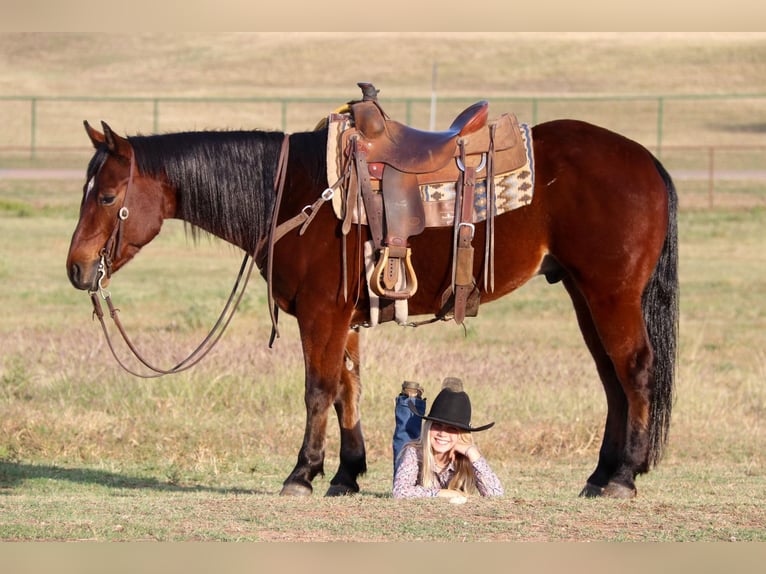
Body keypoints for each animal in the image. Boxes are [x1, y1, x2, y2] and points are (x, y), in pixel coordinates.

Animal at [64, 98, 680, 500]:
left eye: (108, 195)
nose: (76, 268)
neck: (295, 192)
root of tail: (646, 159)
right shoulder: (343, 319)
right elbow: (347, 390)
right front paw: (345, 473)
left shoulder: (321, 315)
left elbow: (317, 389)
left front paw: (301, 474)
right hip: (583, 294)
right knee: (611, 378)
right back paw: (600, 475)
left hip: (611, 294)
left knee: (634, 369)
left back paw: (624, 476)